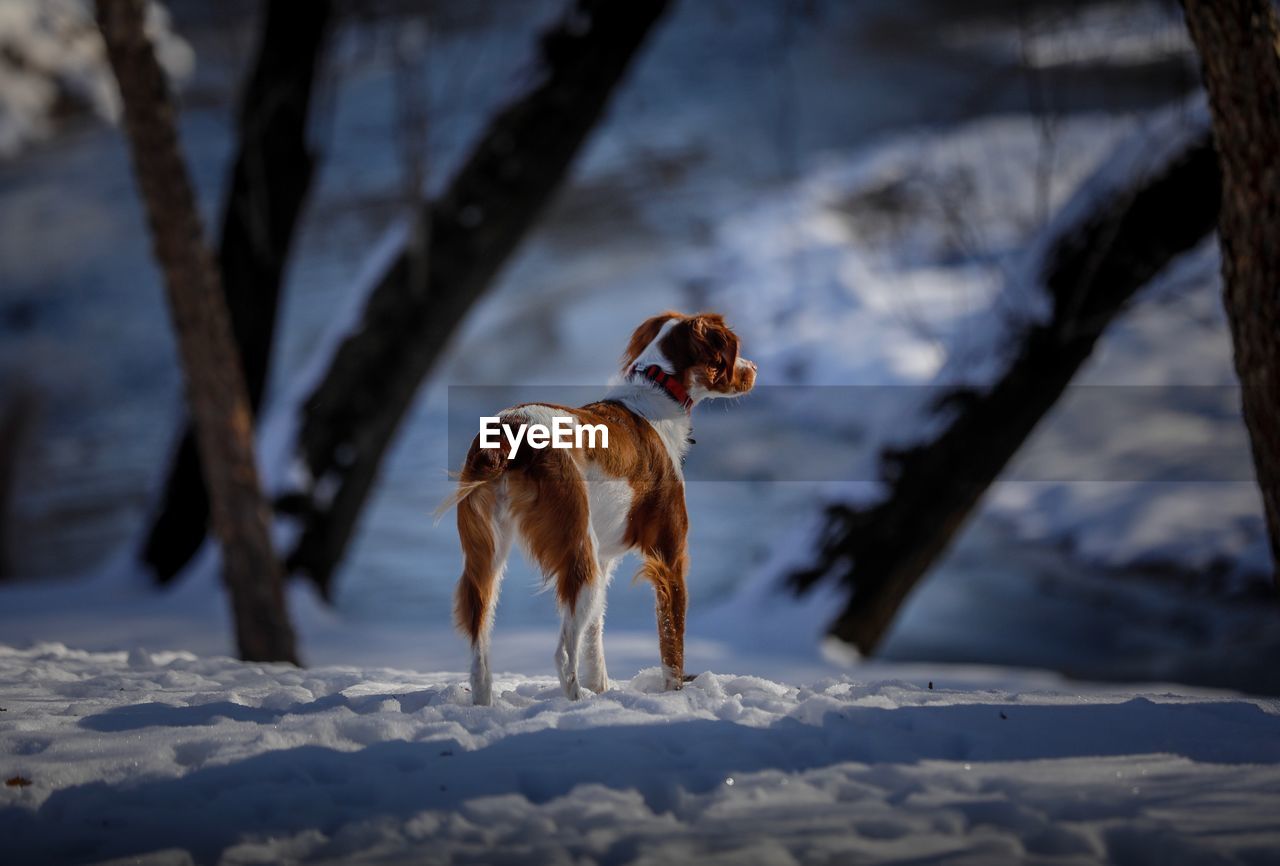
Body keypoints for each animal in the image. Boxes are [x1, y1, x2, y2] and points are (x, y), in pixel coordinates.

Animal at [445, 310, 752, 700]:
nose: (753, 368)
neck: (658, 389)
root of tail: (509, 430)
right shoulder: (670, 556)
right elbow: (673, 644)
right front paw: (674, 696)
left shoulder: (605, 559)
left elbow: (595, 634)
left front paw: (603, 688)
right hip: (577, 550)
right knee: (562, 653)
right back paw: (576, 701)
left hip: (489, 558)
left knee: (479, 647)